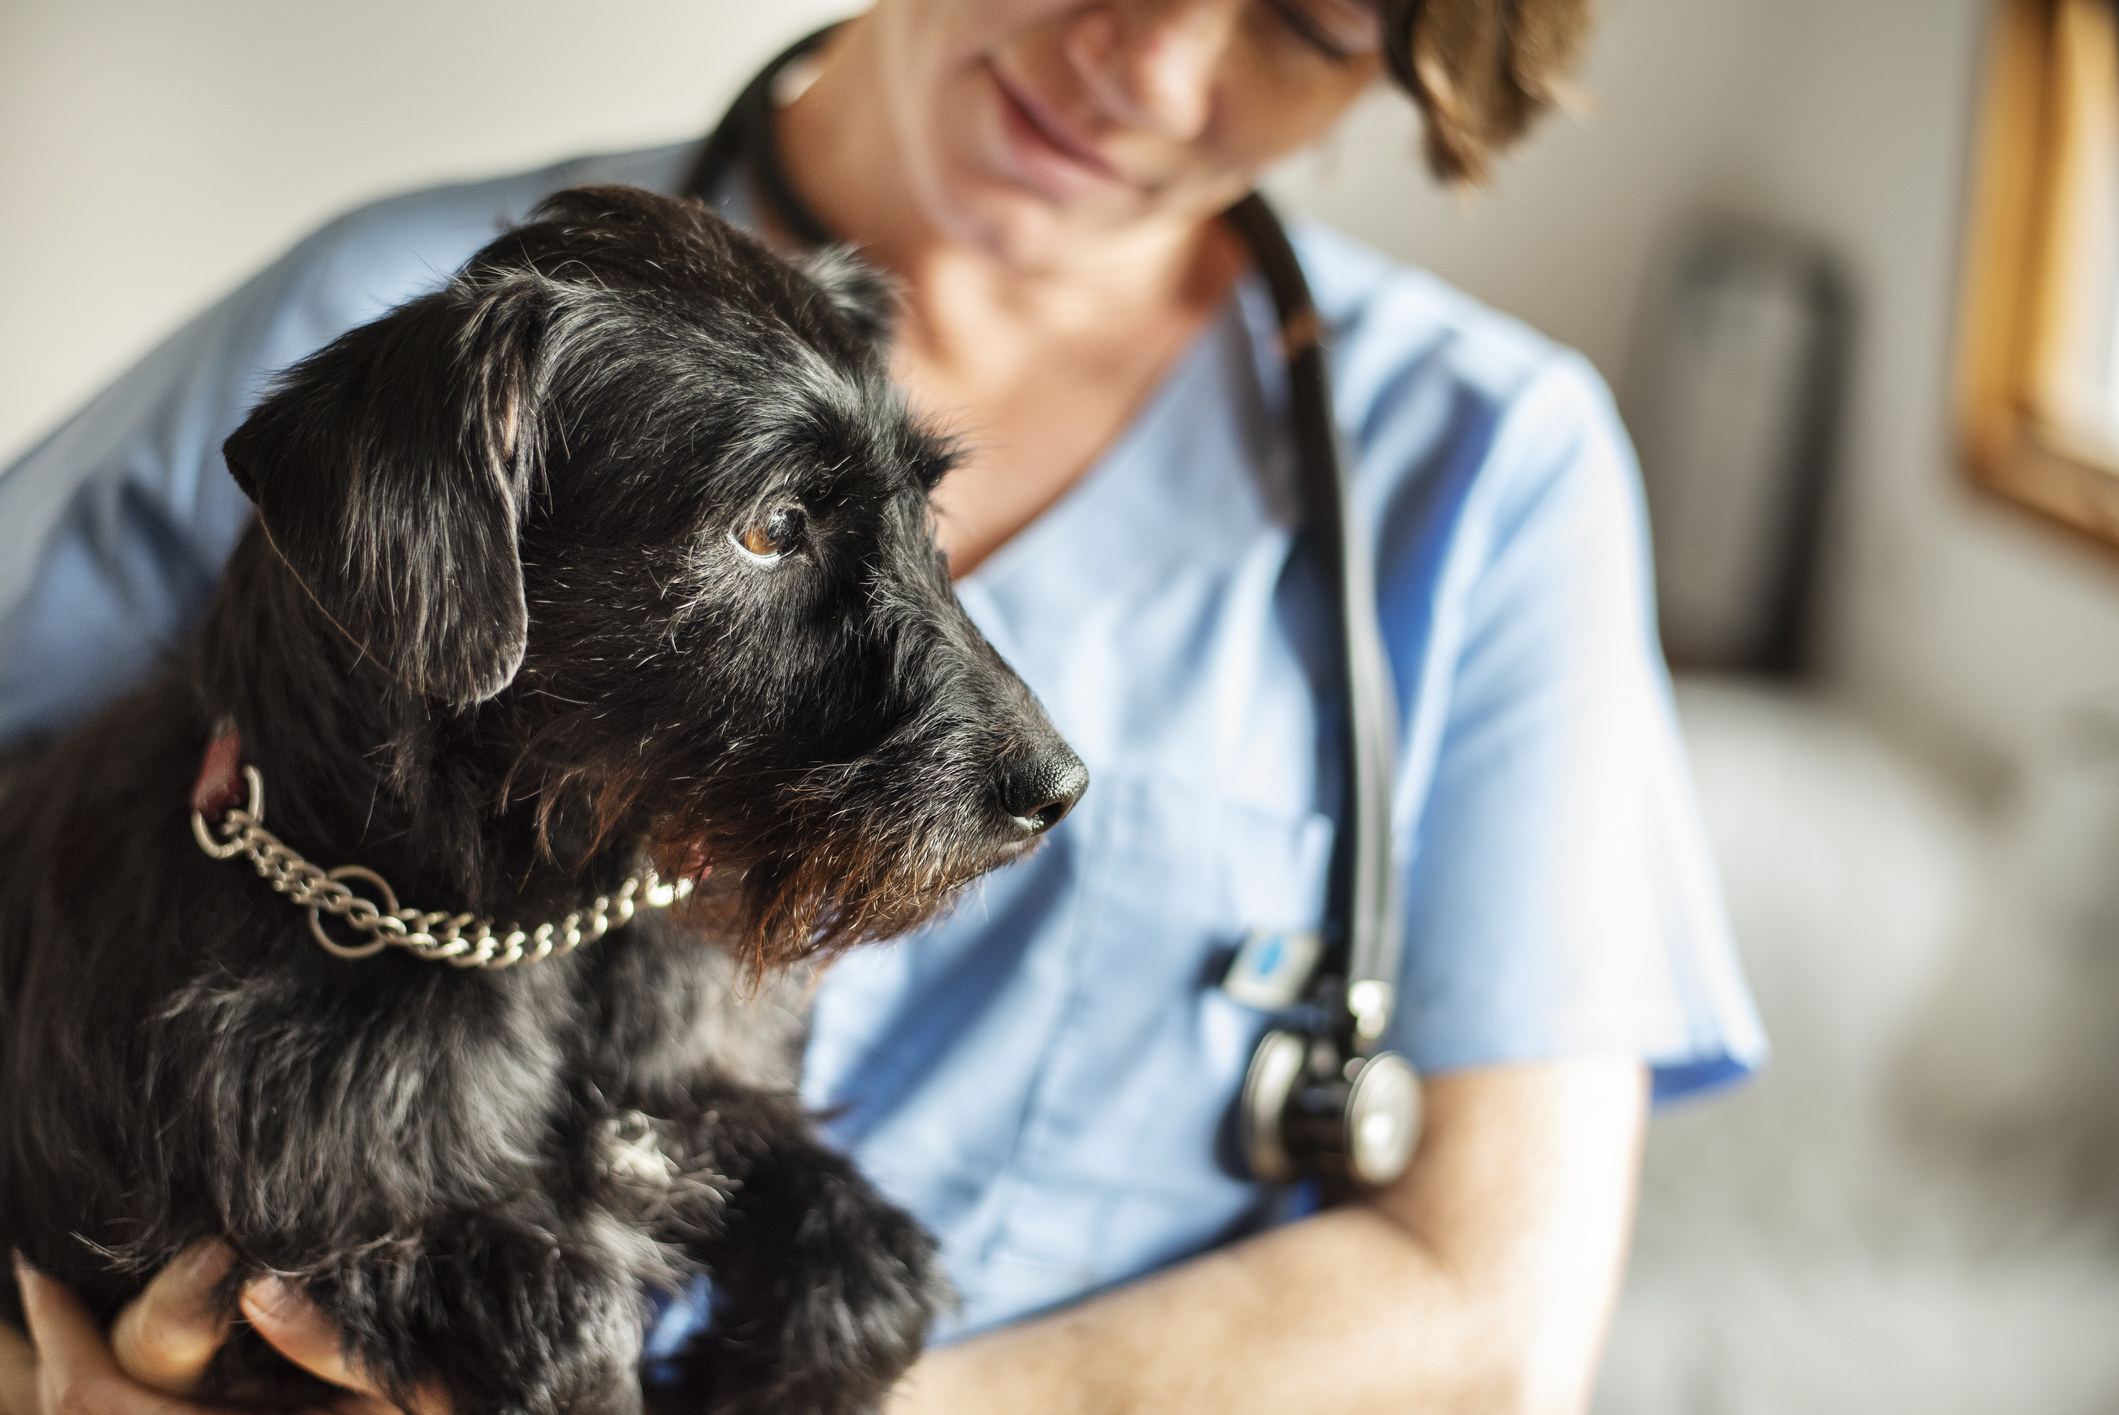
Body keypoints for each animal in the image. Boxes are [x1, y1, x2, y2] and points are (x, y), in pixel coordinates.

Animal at [0, 185, 1084, 1415]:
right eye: (771, 526)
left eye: (925, 506)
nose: (1059, 789)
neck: (539, 925)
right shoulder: (361, 1246)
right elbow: (569, 1323)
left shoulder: (705, 1110)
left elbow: (876, 1266)